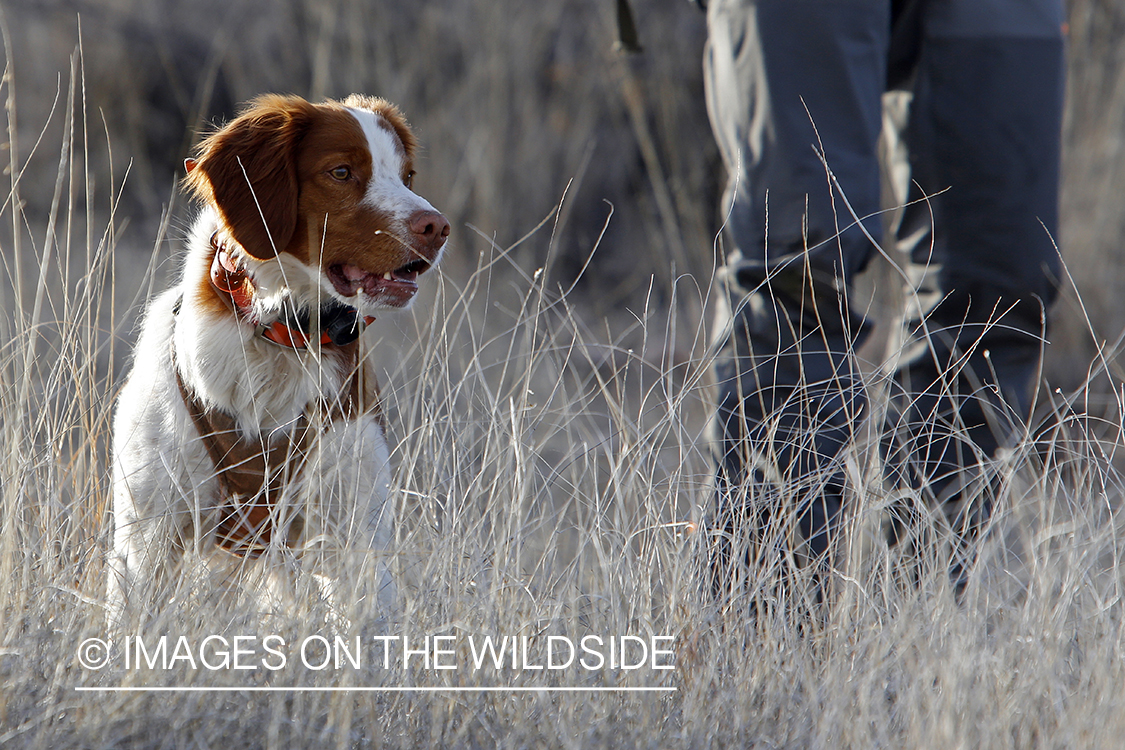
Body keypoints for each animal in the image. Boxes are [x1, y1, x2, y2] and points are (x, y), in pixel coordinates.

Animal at [107, 96, 445, 629]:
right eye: (341, 171)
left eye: (408, 175)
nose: (436, 227)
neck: (281, 337)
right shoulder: (146, 543)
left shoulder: (356, 542)